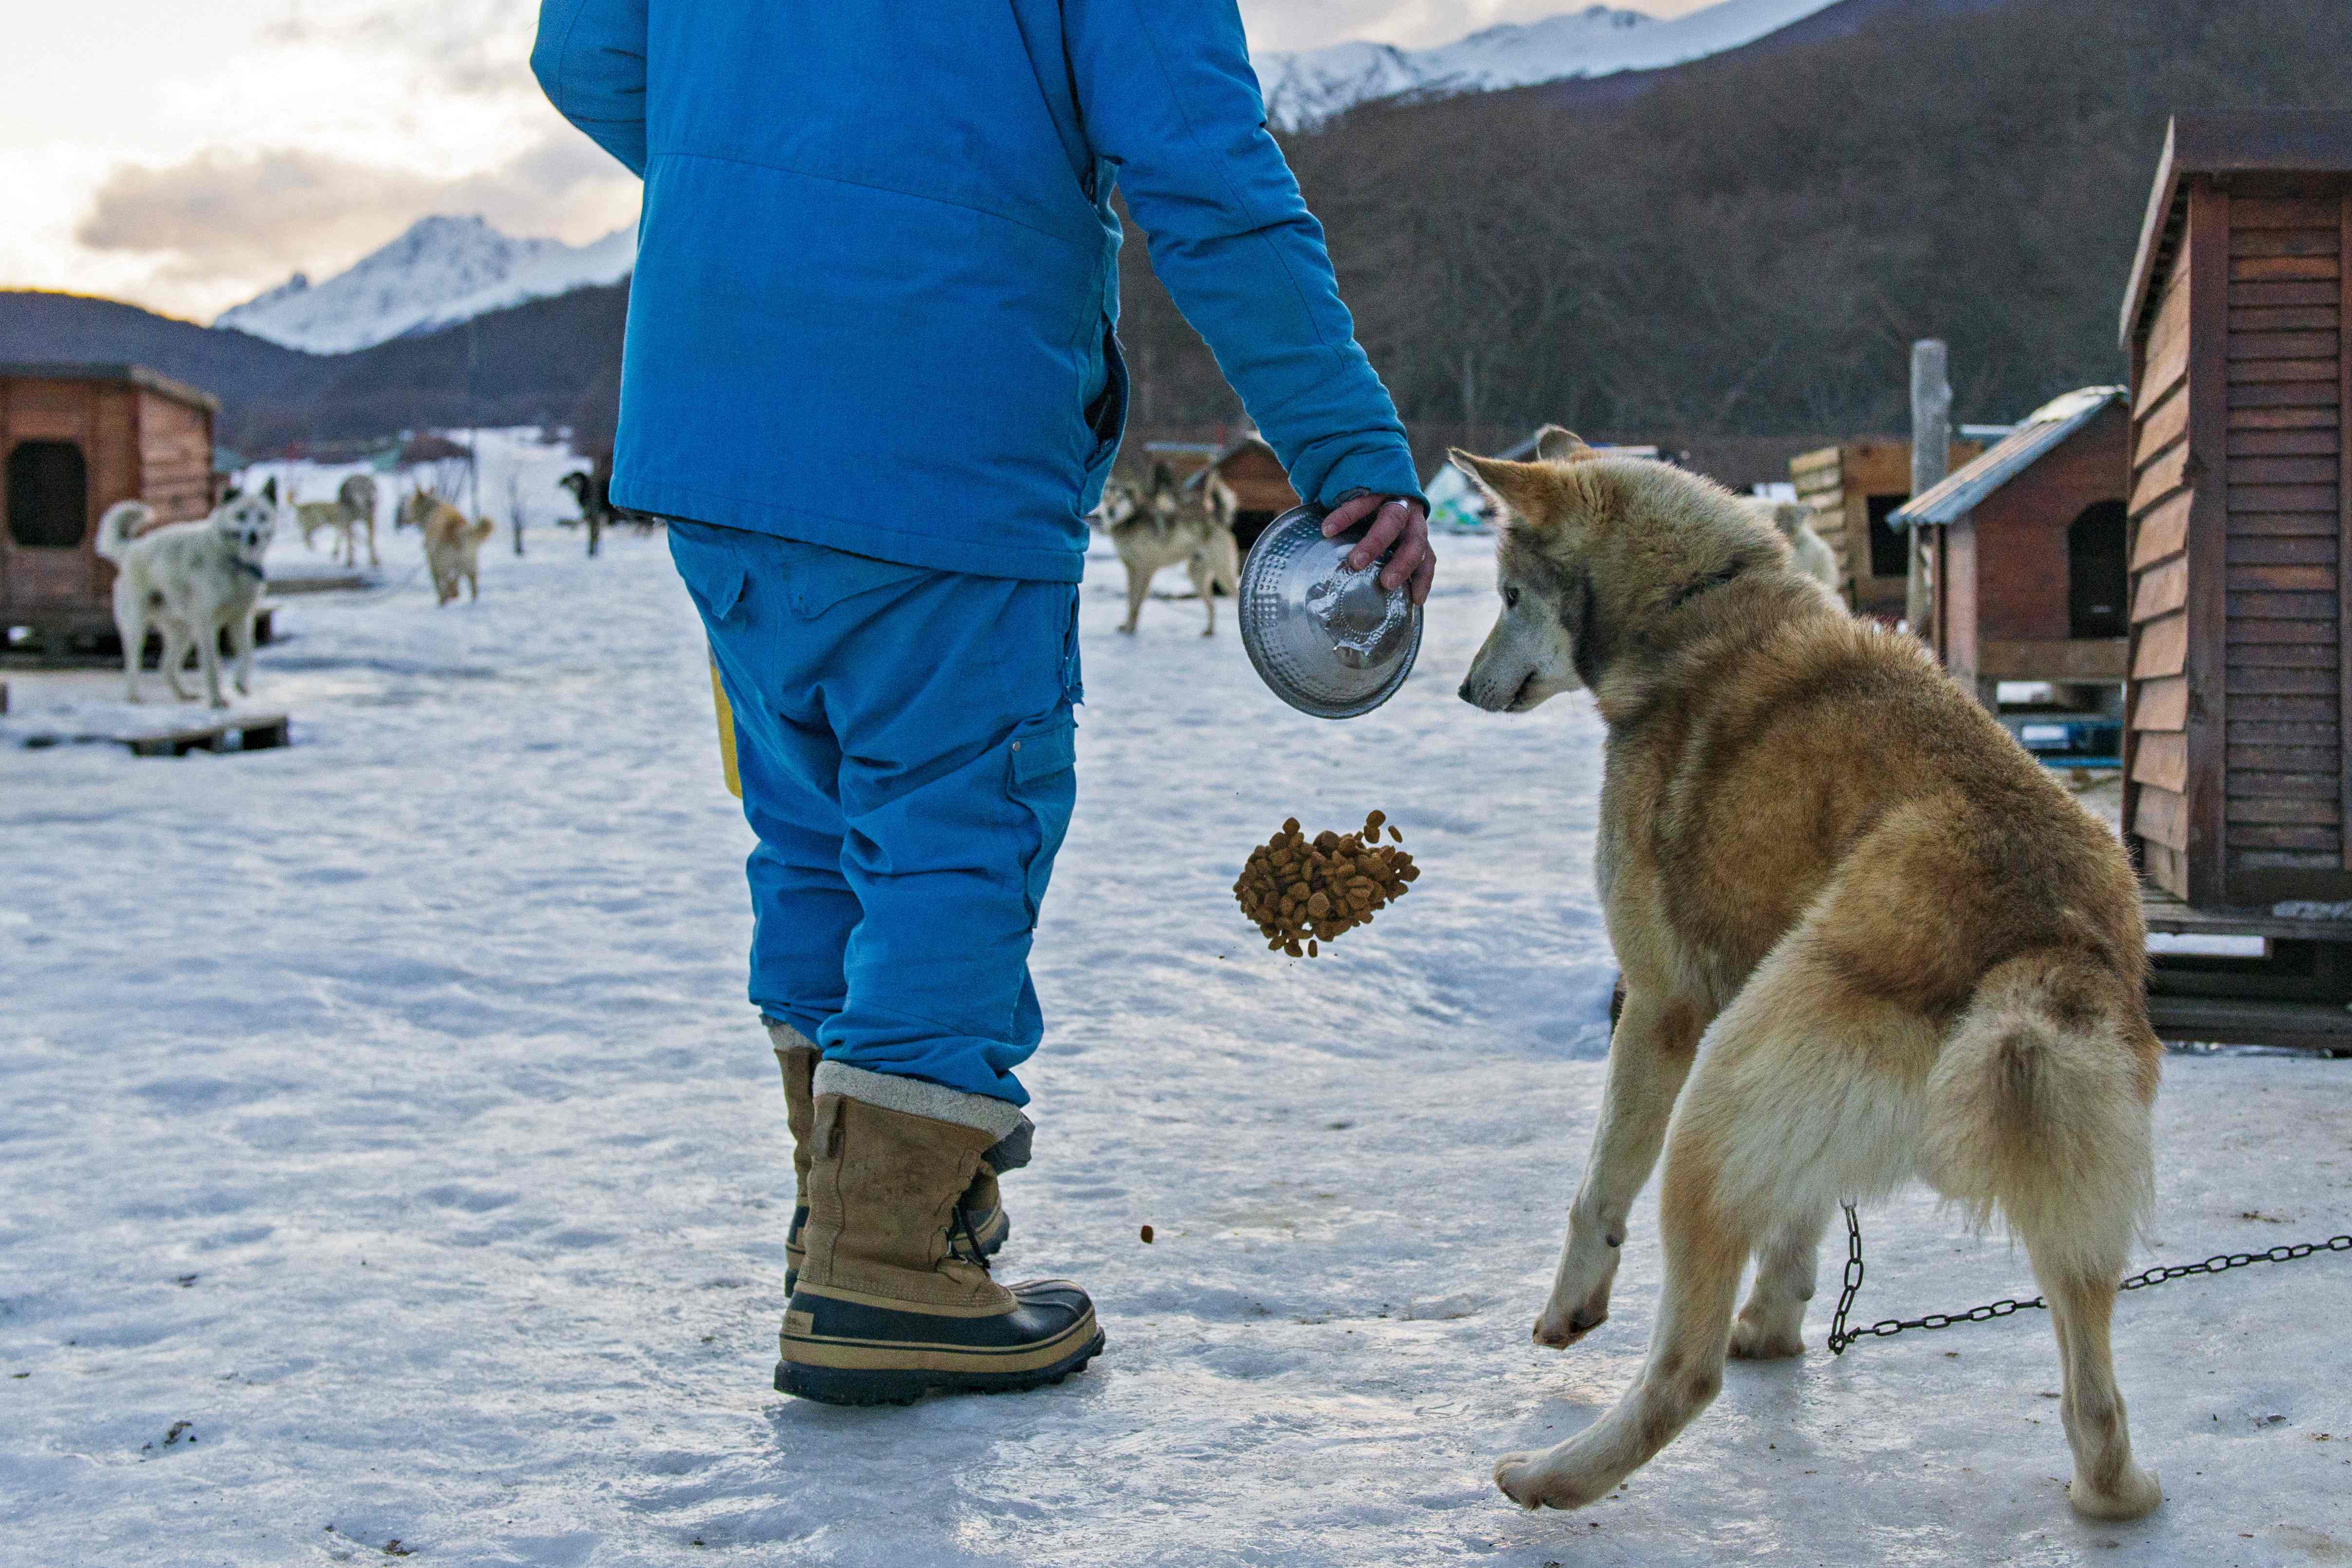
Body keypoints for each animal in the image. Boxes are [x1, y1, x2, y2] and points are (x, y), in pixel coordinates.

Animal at [98, 475, 279, 701]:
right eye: (241, 516)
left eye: (262, 517)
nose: (253, 536)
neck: (232, 562)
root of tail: (131, 549)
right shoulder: (206, 624)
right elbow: (213, 666)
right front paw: (217, 701)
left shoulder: (241, 619)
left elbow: (248, 654)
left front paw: (241, 683)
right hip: (137, 628)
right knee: (132, 665)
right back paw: (133, 698)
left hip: (184, 631)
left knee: (166, 666)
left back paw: (183, 694)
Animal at [1458, 425, 2154, 1523]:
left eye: (1510, 596)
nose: (1463, 687)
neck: (1698, 610)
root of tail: (2046, 937)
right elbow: (1798, 1224)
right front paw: (1777, 1323)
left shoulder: (1662, 1005)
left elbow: (1596, 1188)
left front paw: (1573, 1306)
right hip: (2057, 1168)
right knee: (2098, 1403)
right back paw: (2112, 1485)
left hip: (1713, 1103)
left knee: (1683, 1374)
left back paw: (1553, 1476)